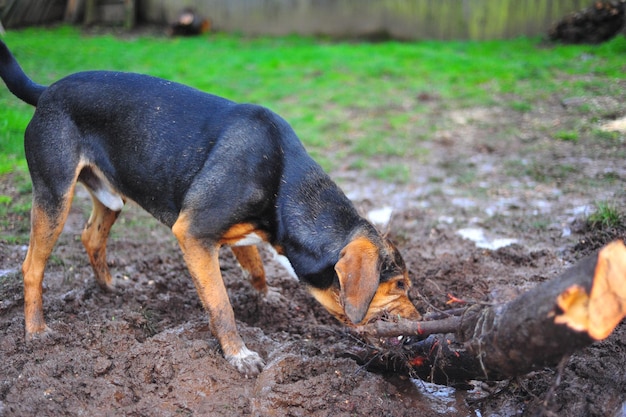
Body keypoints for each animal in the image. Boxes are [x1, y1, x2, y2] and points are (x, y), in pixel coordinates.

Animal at [1, 39, 420, 376]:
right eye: (399, 284)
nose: (421, 322)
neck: (286, 188)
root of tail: (46, 92)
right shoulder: (194, 233)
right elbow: (221, 305)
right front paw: (239, 355)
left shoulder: (238, 233)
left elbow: (254, 267)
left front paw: (266, 297)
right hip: (55, 193)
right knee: (32, 265)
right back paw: (37, 332)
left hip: (110, 194)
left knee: (91, 236)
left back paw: (109, 286)